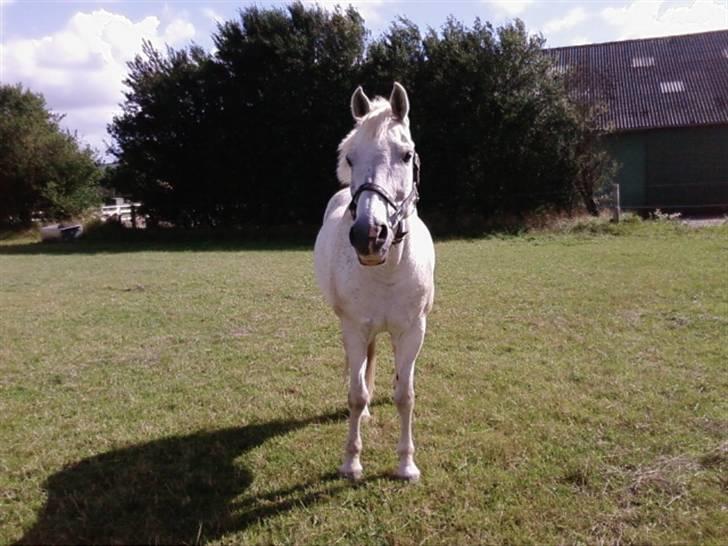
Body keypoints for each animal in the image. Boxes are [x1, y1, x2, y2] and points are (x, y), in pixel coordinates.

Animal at [313, 82, 435, 481]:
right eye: (351, 158)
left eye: (407, 155)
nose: (369, 235)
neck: (387, 271)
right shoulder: (354, 328)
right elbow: (355, 394)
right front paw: (351, 462)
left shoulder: (412, 332)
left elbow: (405, 396)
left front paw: (406, 465)